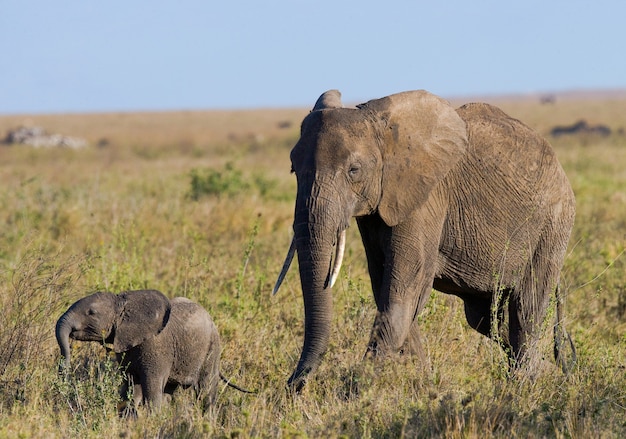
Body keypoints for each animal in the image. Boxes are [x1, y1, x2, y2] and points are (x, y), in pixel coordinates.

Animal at [54, 290, 249, 410]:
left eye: (92, 313)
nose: (63, 373)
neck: (124, 303)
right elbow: (130, 387)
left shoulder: (156, 346)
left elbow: (152, 388)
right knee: (169, 390)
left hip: (212, 347)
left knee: (206, 389)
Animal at [274, 89, 576, 392]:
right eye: (293, 169)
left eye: (354, 170)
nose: (293, 387)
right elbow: (387, 291)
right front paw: (423, 382)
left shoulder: (426, 199)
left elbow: (402, 296)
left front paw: (352, 394)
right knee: (487, 319)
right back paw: (547, 373)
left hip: (553, 222)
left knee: (525, 310)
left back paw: (522, 384)